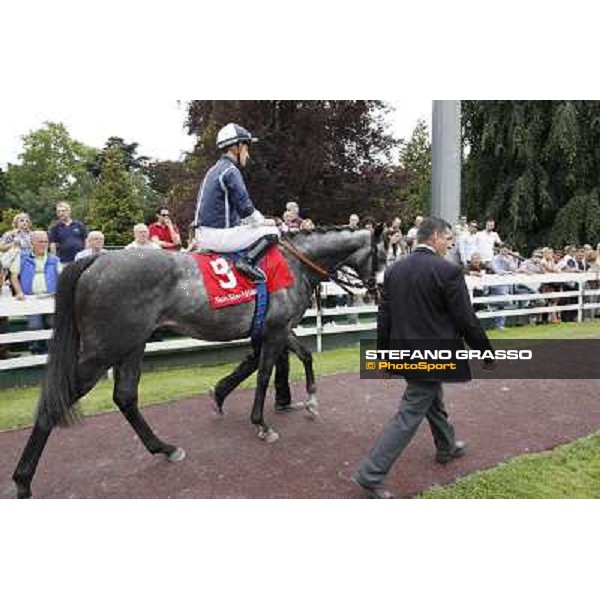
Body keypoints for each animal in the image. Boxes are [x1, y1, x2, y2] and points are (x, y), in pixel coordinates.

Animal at [14, 225, 382, 496]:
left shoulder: (277, 328)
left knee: (125, 396)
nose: (377, 288)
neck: (295, 263)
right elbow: (264, 373)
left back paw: (164, 448)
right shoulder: (276, 330)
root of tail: (96, 262)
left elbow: (301, 356)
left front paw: (310, 401)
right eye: (381, 253)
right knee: (57, 399)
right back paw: (22, 480)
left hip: (131, 345)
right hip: (104, 350)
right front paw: (261, 424)